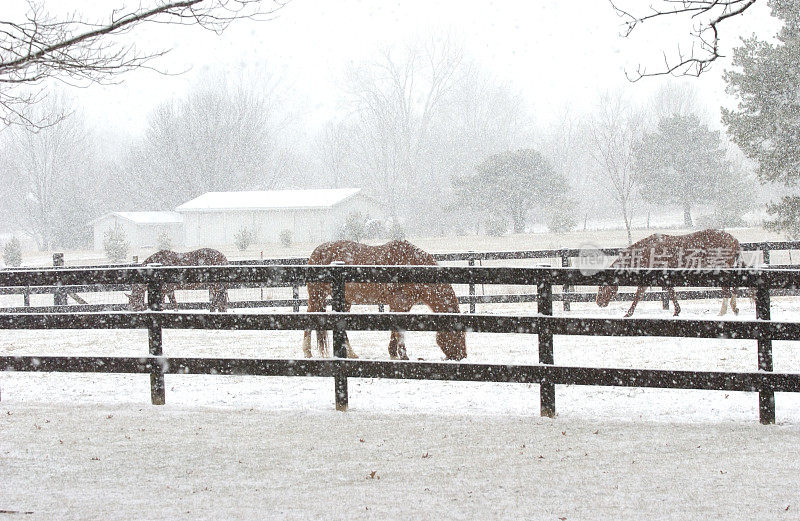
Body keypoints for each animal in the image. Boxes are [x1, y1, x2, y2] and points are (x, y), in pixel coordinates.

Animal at [302, 239, 466, 358]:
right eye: (458, 334)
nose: (462, 356)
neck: (412, 267)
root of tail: (316, 252)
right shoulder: (399, 303)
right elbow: (398, 330)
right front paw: (401, 355)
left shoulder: (404, 305)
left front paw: (395, 353)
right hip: (317, 296)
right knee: (309, 316)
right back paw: (307, 352)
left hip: (344, 301)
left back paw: (351, 354)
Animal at [592, 229, 744, 316]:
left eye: (602, 286)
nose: (599, 302)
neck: (648, 250)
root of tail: (734, 240)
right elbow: (670, 292)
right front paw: (677, 311)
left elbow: (639, 294)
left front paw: (628, 313)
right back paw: (734, 308)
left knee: (727, 289)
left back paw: (723, 312)